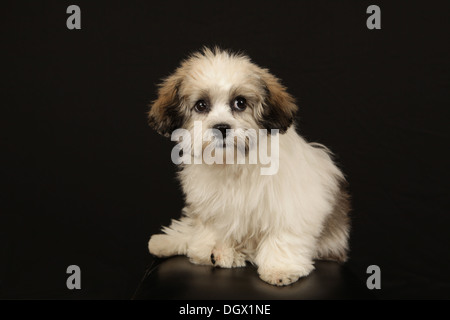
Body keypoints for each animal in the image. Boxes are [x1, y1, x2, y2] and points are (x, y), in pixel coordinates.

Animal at [146, 47, 350, 284]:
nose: (221, 127)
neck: (234, 162)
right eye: (201, 105)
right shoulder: (211, 205)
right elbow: (210, 228)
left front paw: (280, 267)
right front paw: (208, 250)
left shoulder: (292, 205)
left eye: (240, 103)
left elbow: (284, 234)